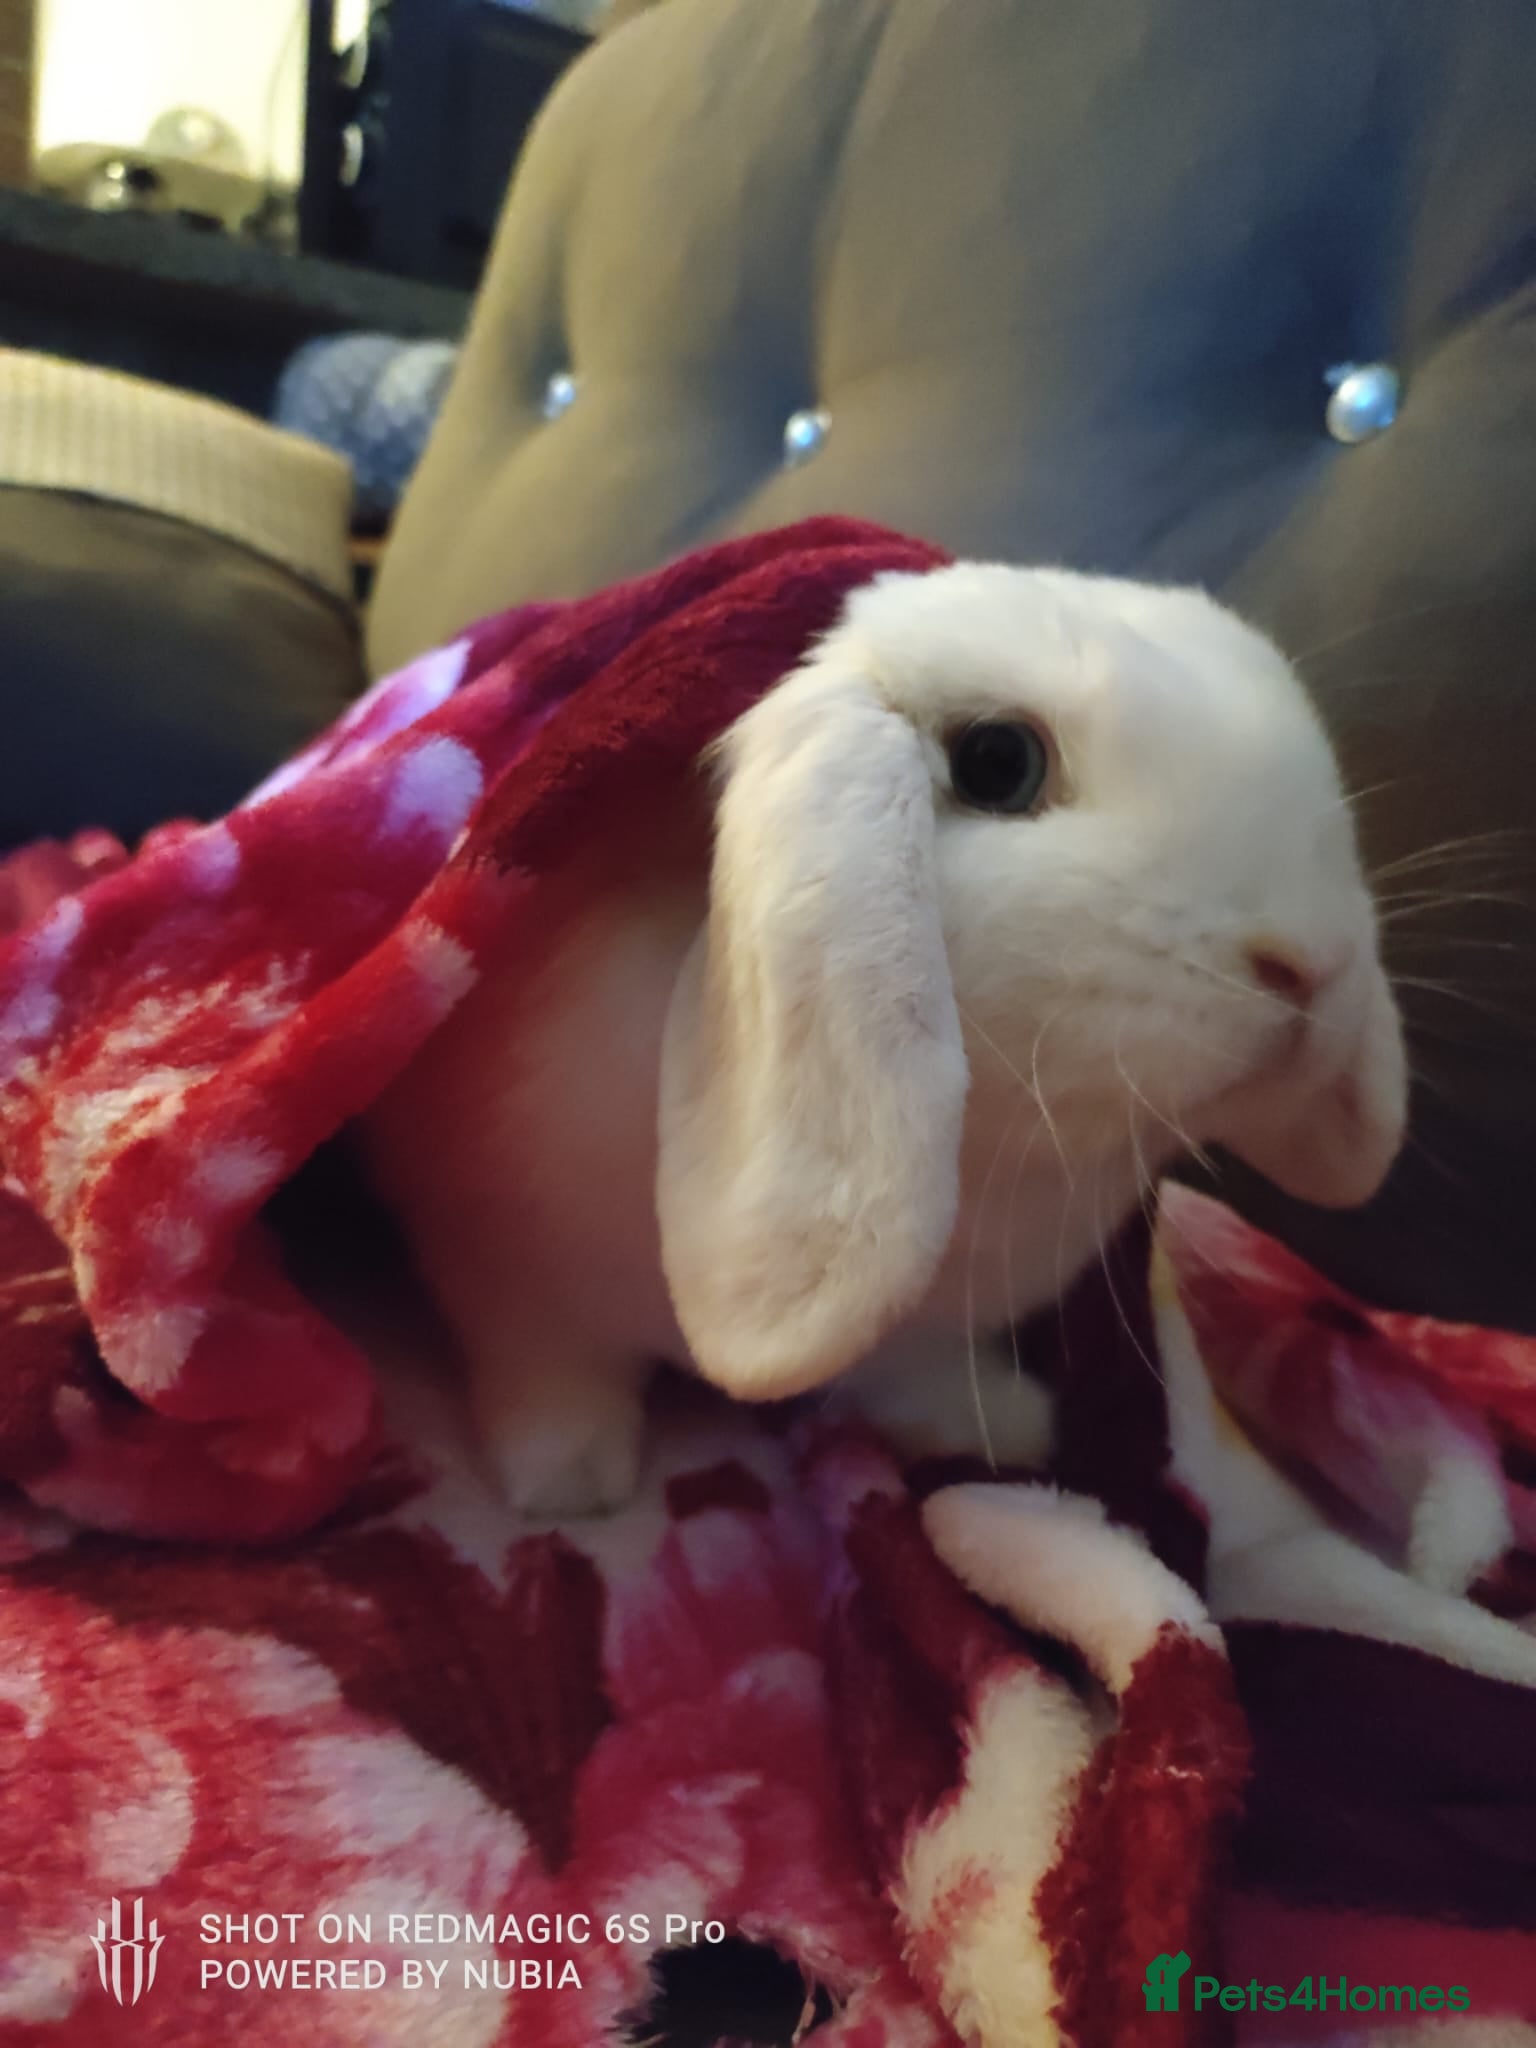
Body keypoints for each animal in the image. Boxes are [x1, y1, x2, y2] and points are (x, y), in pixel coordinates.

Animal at [359, 563, 1407, 1517]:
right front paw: (567, 1483)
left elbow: (909, 1369)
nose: (1314, 961)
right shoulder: (499, 1263)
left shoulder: (923, 1326)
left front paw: (1003, 1426)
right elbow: (550, 1372)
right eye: (999, 763)